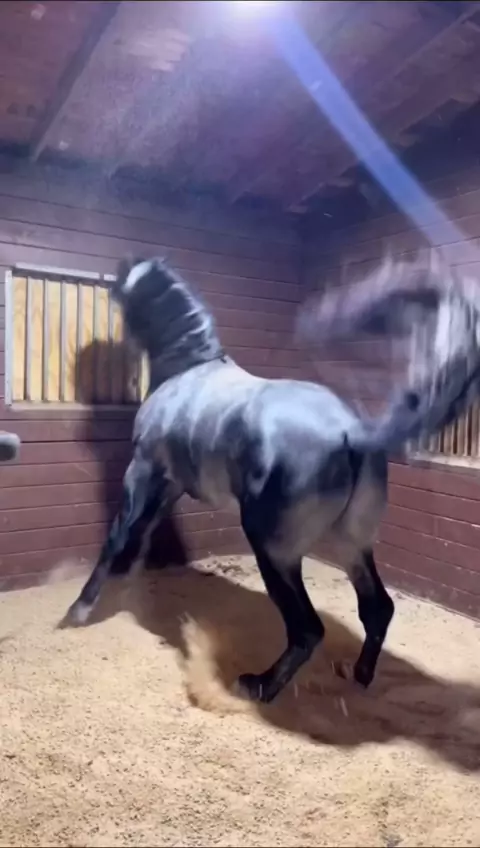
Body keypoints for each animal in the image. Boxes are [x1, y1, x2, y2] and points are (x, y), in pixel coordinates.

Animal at [64, 255, 462, 705]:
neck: (188, 369)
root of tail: (352, 434)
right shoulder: (172, 483)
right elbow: (145, 531)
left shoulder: (143, 468)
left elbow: (118, 533)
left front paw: (80, 609)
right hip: (351, 545)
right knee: (377, 608)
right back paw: (359, 675)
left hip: (275, 550)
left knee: (307, 629)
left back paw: (258, 686)